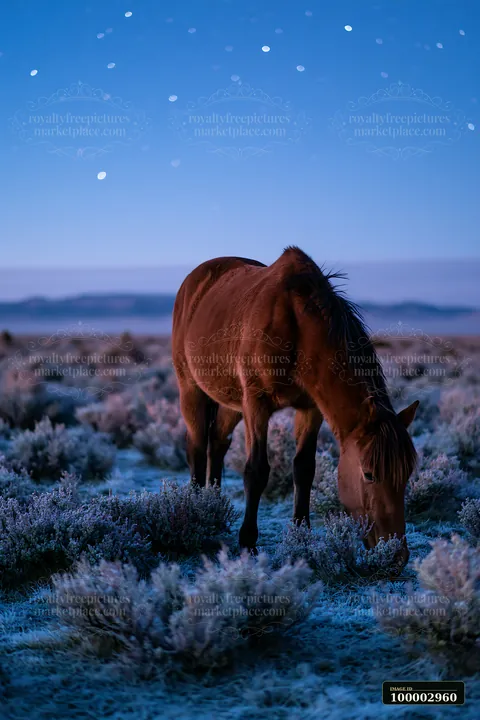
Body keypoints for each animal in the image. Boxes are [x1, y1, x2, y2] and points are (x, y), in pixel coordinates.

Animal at [172, 247, 419, 566]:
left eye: (407, 473)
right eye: (369, 474)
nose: (397, 554)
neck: (298, 329)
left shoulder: (310, 408)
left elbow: (304, 468)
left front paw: (302, 535)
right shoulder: (256, 404)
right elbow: (256, 471)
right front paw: (248, 543)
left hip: (230, 402)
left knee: (217, 442)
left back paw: (212, 506)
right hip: (191, 389)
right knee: (197, 446)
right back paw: (196, 508)